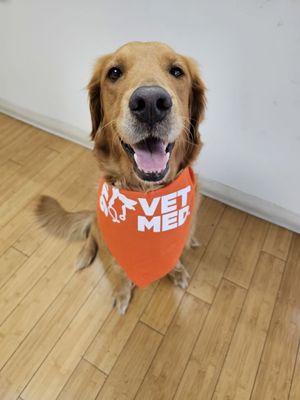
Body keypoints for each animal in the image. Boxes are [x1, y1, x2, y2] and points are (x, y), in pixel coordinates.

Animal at [35, 42, 206, 314]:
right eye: (114, 72)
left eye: (177, 71)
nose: (150, 103)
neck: (148, 196)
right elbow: (118, 270)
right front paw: (122, 292)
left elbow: (175, 257)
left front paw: (177, 270)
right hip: (97, 221)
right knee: (91, 235)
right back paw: (84, 255)